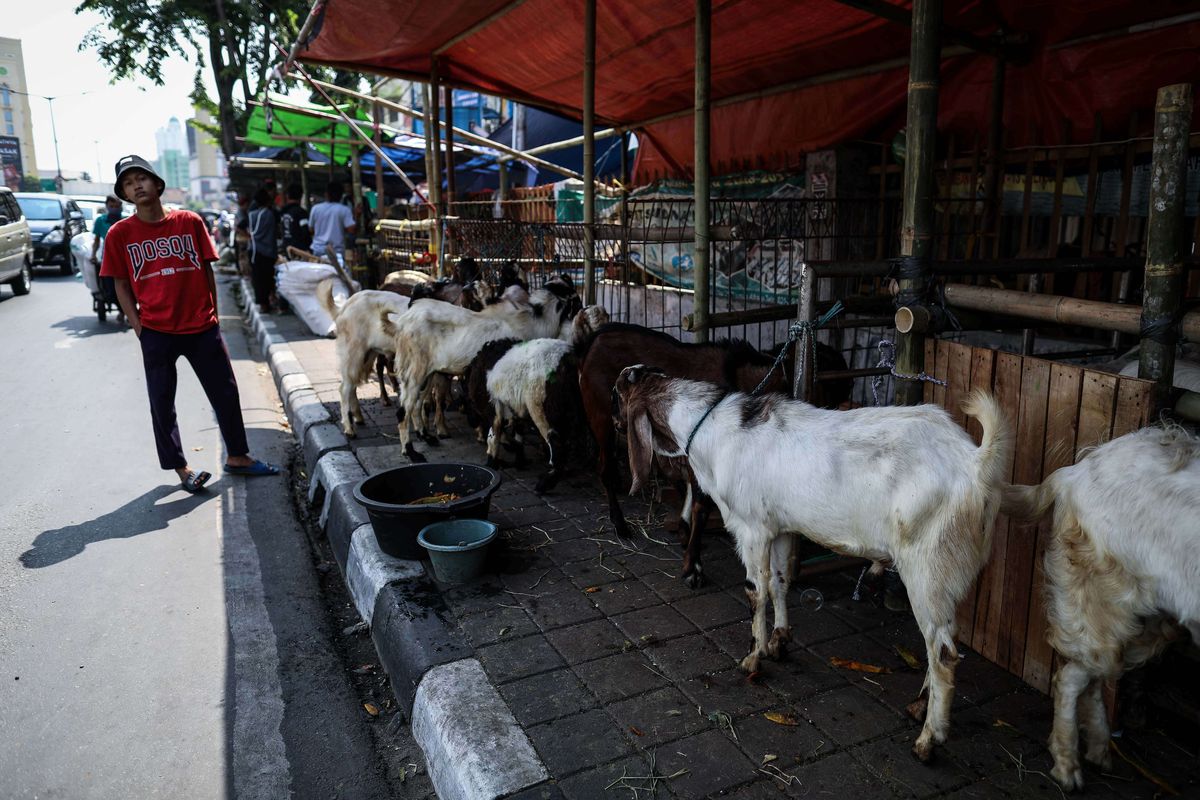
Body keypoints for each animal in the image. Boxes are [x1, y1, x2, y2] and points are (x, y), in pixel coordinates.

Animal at [609, 367, 1012, 767]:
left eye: (616, 394)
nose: (613, 423)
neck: (710, 427)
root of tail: (976, 464)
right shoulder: (780, 527)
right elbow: (780, 581)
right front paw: (778, 641)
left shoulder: (751, 527)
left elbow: (755, 590)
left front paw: (752, 659)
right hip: (947, 573)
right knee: (942, 639)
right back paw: (918, 706)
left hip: (927, 566)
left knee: (942, 652)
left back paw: (928, 739)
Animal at [1003, 429, 1200, 791]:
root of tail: (1072, 474)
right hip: (1108, 601)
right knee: (1072, 676)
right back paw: (1068, 767)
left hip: (1149, 618)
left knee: (1093, 673)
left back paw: (1097, 752)